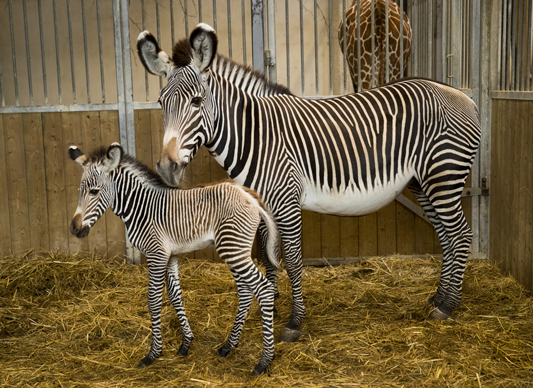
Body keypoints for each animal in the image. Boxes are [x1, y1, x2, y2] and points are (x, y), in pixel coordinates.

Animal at [67, 143, 278, 376]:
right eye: (79, 192)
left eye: (94, 191)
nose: (74, 230)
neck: (141, 208)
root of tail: (249, 196)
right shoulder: (170, 255)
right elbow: (175, 296)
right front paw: (186, 343)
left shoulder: (156, 254)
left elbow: (153, 300)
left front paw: (153, 353)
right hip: (236, 249)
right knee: (246, 292)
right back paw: (228, 346)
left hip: (233, 249)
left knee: (263, 289)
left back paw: (265, 361)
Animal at [137, 23, 482, 340]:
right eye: (161, 102)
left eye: (196, 101)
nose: (166, 168)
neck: (256, 135)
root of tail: (464, 97)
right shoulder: (263, 205)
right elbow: (268, 255)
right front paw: (270, 305)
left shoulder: (286, 201)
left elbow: (291, 259)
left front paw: (294, 322)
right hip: (423, 184)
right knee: (446, 236)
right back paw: (437, 297)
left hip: (444, 175)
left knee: (461, 234)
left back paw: (448, 305)